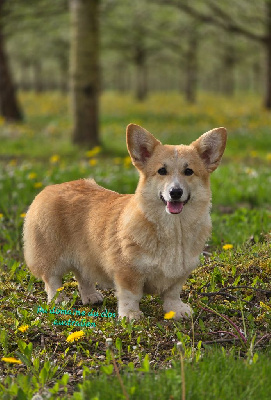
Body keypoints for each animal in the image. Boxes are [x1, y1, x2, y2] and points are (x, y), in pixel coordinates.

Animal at [23, 123, 227, 320]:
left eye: (188, 171)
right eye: (162, 171)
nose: (175, 192)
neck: (174, 229)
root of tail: (49, 188)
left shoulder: (179, 273)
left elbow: (172, 293)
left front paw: (176, 310)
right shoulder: (128, 271)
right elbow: (131, 295)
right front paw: (130, 315)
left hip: (85, 254)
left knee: (83, 275)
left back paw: (90, 296)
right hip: (50, 255)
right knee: (52, 280)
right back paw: (58, 300)